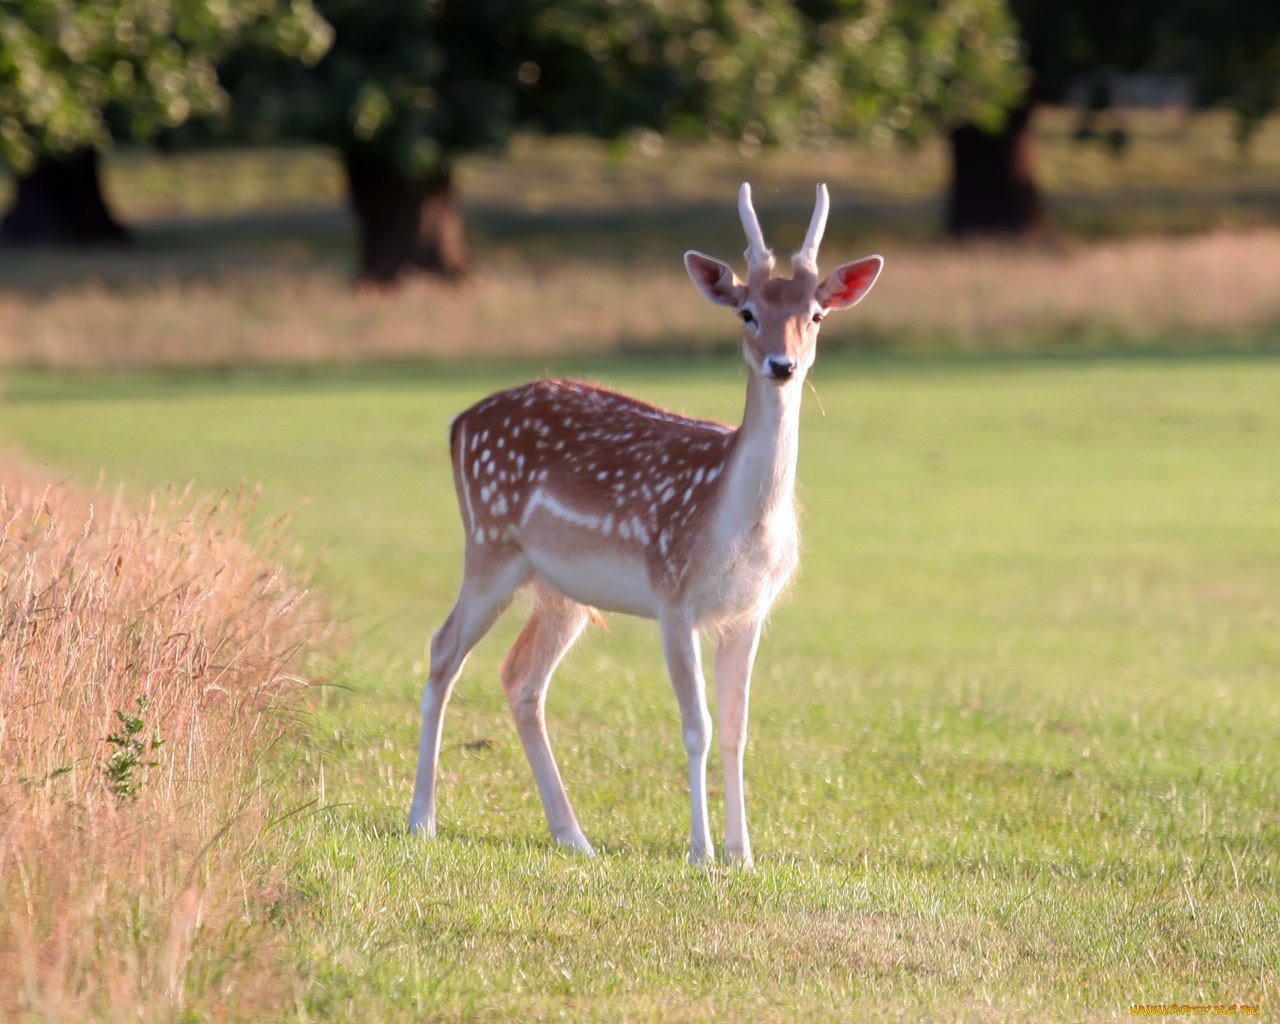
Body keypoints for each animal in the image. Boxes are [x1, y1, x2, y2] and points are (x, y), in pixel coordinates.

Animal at [407, 184, 880, 865]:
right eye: (746, 312)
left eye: (816, 314)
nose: (782, 365)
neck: (735, 527)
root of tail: (457, 423)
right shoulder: (673, 593)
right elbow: (696, 727)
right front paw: (702, 852)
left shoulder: (749, 610)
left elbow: (736, 728)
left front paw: (743, 853)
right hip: (489, 544)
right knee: (444, 651)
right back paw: (422, 818)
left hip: (559, 589)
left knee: (521, 678)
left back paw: (573, 835)